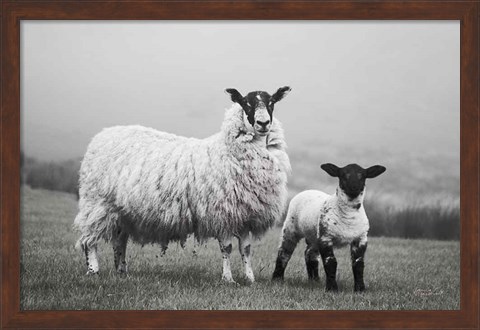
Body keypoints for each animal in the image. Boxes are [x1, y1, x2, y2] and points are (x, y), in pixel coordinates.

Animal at [73, 87, 290, 284]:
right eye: (246, 103)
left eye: (272, 102)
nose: (263, 123)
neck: (227, 149)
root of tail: (102, 135)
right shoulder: (222, 213)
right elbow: (227, 248)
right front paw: (228, 279)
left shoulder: (245, 214)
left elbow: (245, 249)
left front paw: (250, 279)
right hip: (97, 203)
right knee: (89, 240)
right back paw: (93, 270)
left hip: (122, 211)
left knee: (119, 241)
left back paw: (121, 271)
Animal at [272, 163, 388, 292]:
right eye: (343, 175)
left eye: (362, 175)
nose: (354, 187)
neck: (348, 216)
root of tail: (309, 190)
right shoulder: (326, 237)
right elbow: (331, 262)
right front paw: (332, 288)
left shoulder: (361, 239)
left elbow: (358, 264)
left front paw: (360, 289)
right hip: (291, 228)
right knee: (284, 252)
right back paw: (277, 279)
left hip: (314, 235)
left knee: (310, 253)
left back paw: (314, 280)